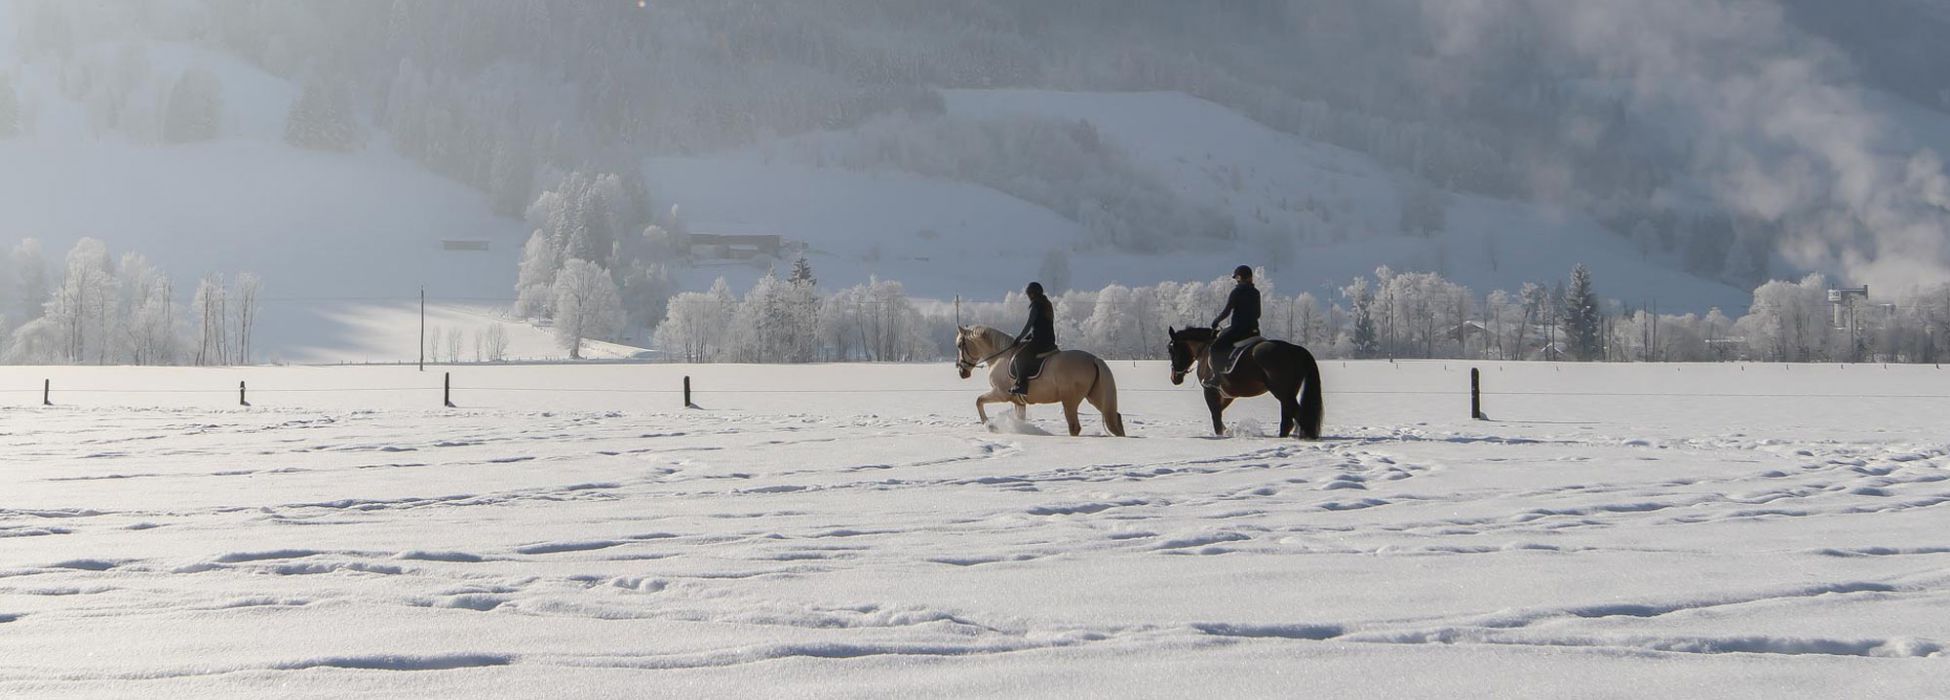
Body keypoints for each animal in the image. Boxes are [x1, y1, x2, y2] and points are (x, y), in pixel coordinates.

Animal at [947, 325, 1123, 436]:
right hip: (1095, 397)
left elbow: (979, 401)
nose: (962, 372)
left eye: (960, 345)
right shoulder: (1018, 401)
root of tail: (1094, 359)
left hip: (1070, 401)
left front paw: (990, 426)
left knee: (1075, 427)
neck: (999, 357)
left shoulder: (1000, 394)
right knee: (1115, 418)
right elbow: (1019, 417)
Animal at [1170, 327, 1326, 438]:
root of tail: (1294, 349)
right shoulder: (1227, 395)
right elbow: (1219, 413)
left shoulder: (1210, 391)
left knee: (1297, 415)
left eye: (1171, 350)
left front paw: (1222, 434)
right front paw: (1228, 431)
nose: (1174, 378)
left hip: (1281, 391)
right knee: (1288, 418)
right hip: (1288, 392)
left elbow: (1215, 415)